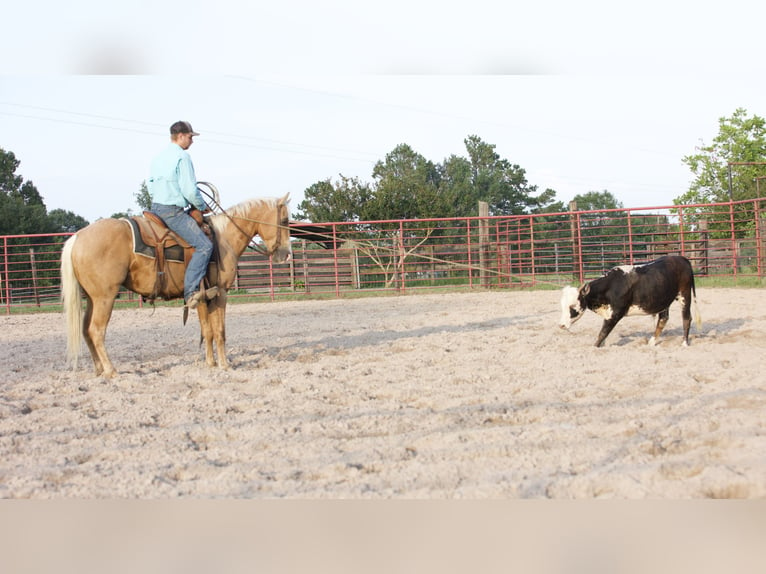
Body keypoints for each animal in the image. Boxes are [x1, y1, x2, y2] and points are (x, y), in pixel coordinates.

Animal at [60, 196, 292, 380]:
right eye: (284, 220)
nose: (286, 254)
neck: (224, 238)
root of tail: (77, 237)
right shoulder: (221, 293)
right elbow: (220, 331)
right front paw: (225, 364)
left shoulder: (202, 296)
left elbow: (207, 330)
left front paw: (211, 362)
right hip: (105, 297)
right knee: (96, 330)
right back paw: (111, 370)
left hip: (92, 298)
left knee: (86, 330)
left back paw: (99, 369)